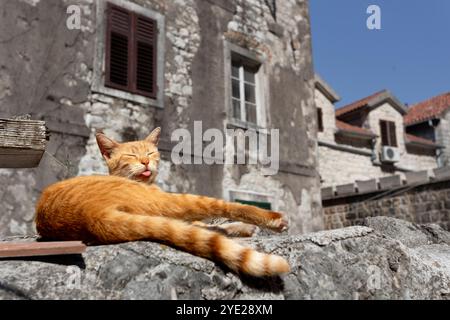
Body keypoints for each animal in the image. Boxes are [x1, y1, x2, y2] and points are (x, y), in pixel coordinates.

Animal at [34, 126, 288, 276]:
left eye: (151, 153)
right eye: (131, 155)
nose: (146, 162)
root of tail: (90, 214)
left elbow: (212, 226)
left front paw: (241, 229)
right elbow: (215, 223)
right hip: (177, 200)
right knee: (225, 208)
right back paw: (274, 220)